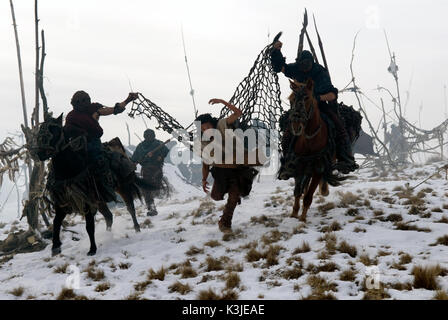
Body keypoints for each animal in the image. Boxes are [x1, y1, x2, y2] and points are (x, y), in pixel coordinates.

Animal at [33, 114, 152, 256]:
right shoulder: (62, 202)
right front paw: (55, 248)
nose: (40, 153)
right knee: (108, 216)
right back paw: (107, 234)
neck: (69, 169)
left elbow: (89, 226)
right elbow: (56, 222)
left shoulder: (87, 201)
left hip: (123, 188)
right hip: (100, 200)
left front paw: (92, 249)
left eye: (56, 132)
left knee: (130, 208)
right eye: (40, 131)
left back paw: (137, 229)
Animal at [284, 79, 344, 221]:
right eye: (291, 99)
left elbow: (308, 196)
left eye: (307, 98)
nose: (296, 126)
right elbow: (297, 192)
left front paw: (302, 218)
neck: (310, 138)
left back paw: (324, 189)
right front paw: (294, 213)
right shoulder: (299, 165)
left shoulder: (318, 168)